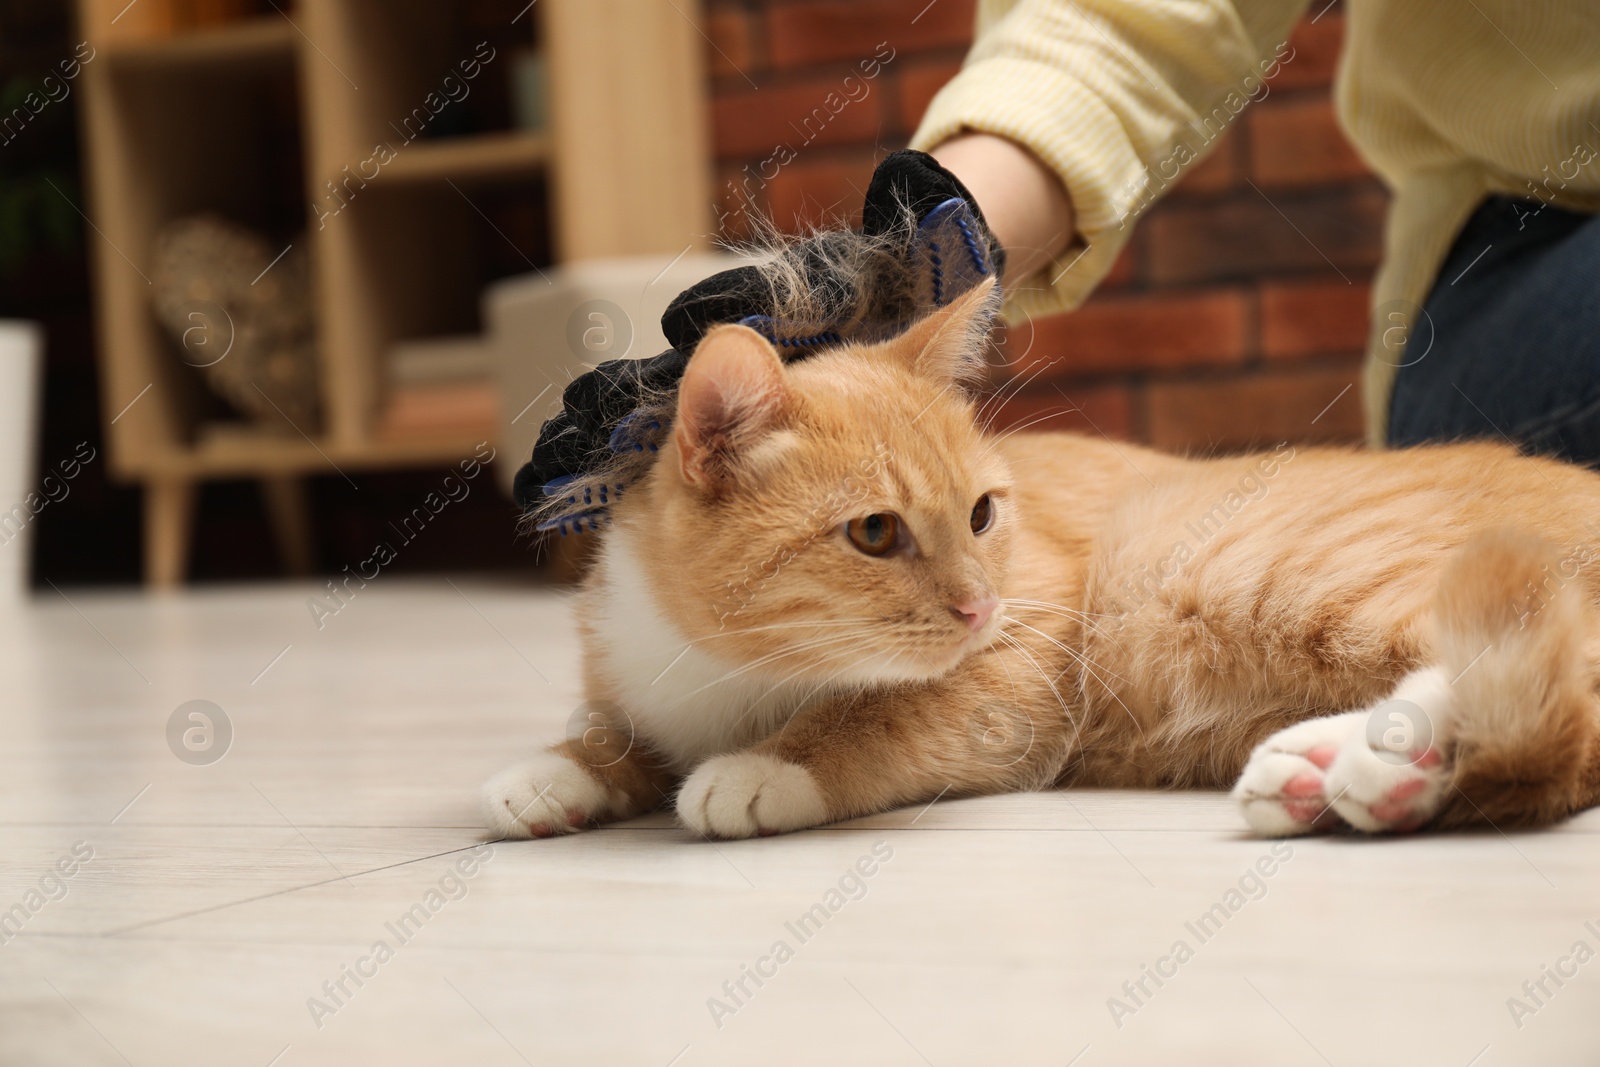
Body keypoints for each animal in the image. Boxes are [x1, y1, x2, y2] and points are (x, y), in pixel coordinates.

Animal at [480, 278, 1600, 844]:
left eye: (981, 513)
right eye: (876, 533)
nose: (980, 606)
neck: (744, 670)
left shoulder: (1023, 669)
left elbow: (886, 716)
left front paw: (768, 766)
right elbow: (615, 733)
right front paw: (557, 770)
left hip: (1252, 563)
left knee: (1559, 695)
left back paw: (1384, 761)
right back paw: (1338, 770)